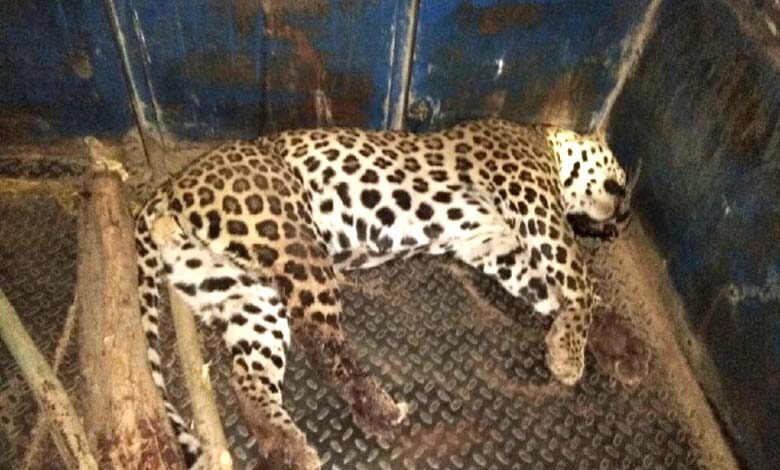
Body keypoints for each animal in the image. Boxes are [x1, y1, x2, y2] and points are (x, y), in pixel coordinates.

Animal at [134, 118, 637, 469]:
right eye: (621, 183)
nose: (622, 220)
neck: (543, 142)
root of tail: (172, 184)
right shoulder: (529, 200)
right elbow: (576, 273)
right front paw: (569, 354)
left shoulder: (494, 247)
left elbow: (556, 287)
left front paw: (616, 344)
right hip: (293, 238)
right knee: (322, 346)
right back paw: (379, 408)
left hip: (244, 293)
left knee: (250, 383)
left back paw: (288, 445)